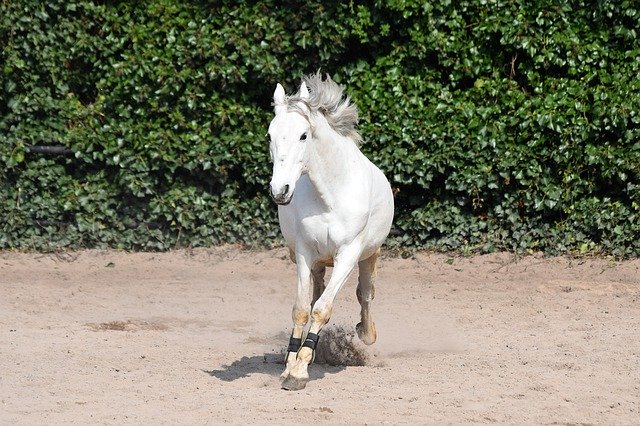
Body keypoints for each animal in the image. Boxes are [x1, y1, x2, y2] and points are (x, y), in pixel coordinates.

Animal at [266, 72, 396, 390]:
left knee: (365, 294)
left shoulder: (347, 256)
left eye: (303, 135)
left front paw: (299, 372)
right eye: (270, 135)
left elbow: (323, 308)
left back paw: (366, 333)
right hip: (317, 262)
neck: (329, 196)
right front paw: (291, 366)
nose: (279, 190)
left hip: (369, 256)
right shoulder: (304, 253)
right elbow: (303, 308)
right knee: (316, 293)